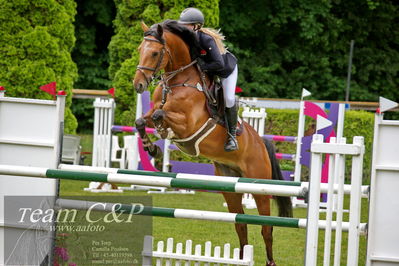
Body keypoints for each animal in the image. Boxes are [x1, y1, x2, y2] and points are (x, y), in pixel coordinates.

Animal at [133, 19, 292, 266]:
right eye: (141, 49)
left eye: (155, 52)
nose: (138, 85)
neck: (178, 81)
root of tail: (261, 143)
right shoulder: (153, 112)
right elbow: (143, 119)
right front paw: (151, 148)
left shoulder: (189, 124)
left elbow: (162, 116)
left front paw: (163, 132)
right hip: (230, 186)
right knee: (240, 224)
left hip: (259, 187)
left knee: (266, 228)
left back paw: (270, 261)